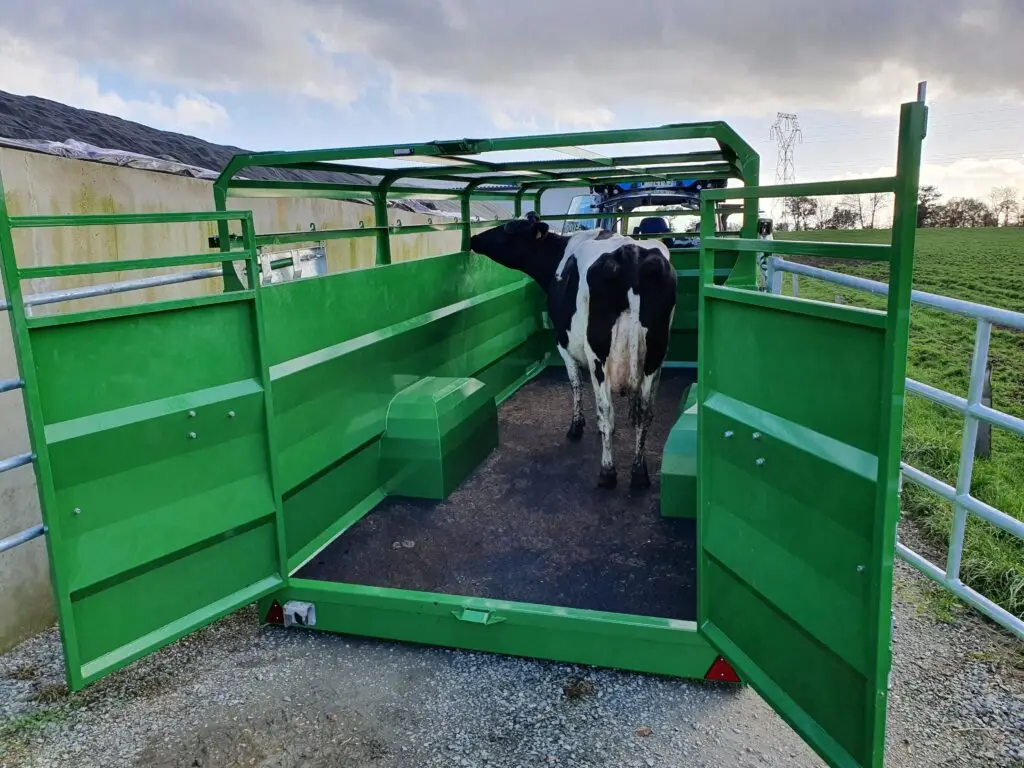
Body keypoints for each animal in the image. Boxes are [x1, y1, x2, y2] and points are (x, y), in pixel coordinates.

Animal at [468, 215, 675, 493]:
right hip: (655, 350)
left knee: (607, 411)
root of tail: (630, 252)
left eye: (510, 227)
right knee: (645, 411)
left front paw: (576, 427)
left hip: (599, 354)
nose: (474, 238)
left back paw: (607, 473)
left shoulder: (562, 343)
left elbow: (576, 384)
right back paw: (639, 474)